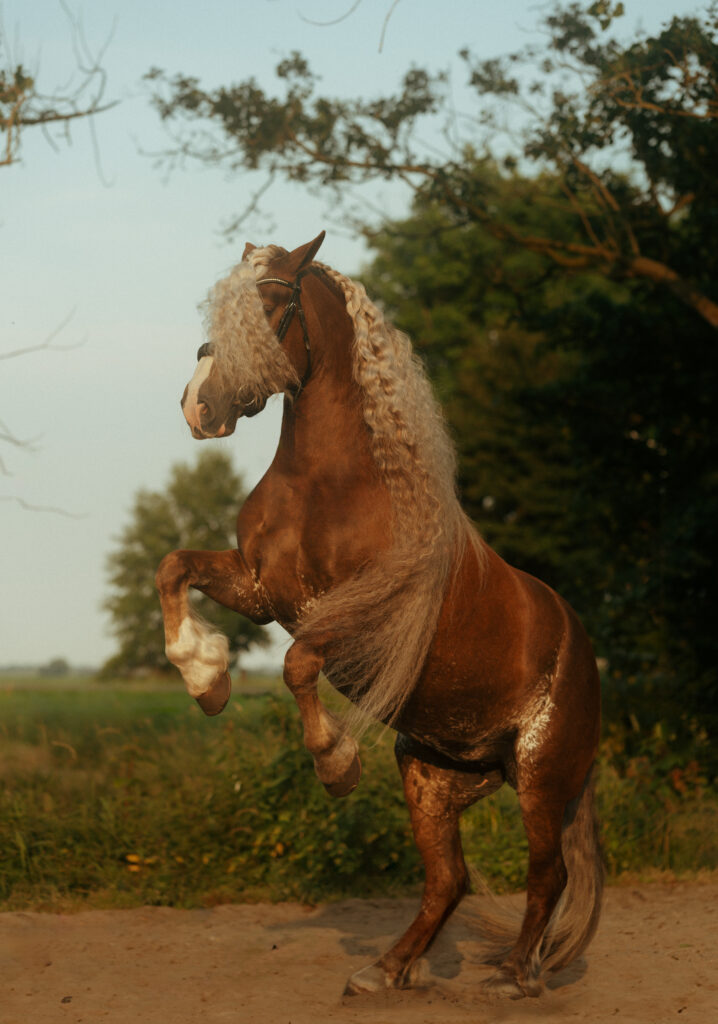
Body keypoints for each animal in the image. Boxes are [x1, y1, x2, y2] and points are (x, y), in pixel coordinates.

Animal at [155, 234, 598, 999]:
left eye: (270, 306)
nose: (198, 405)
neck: (329, 486)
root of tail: (586, 657)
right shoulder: (261, 590)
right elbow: (172, 568)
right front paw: (206, 679)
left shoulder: (361, 620)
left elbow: (298, 662)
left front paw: (335, 764)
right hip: (434, 774)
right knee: (449, 881)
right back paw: (383, 970)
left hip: (542, 779)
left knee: (548, 876)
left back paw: (515, 977)